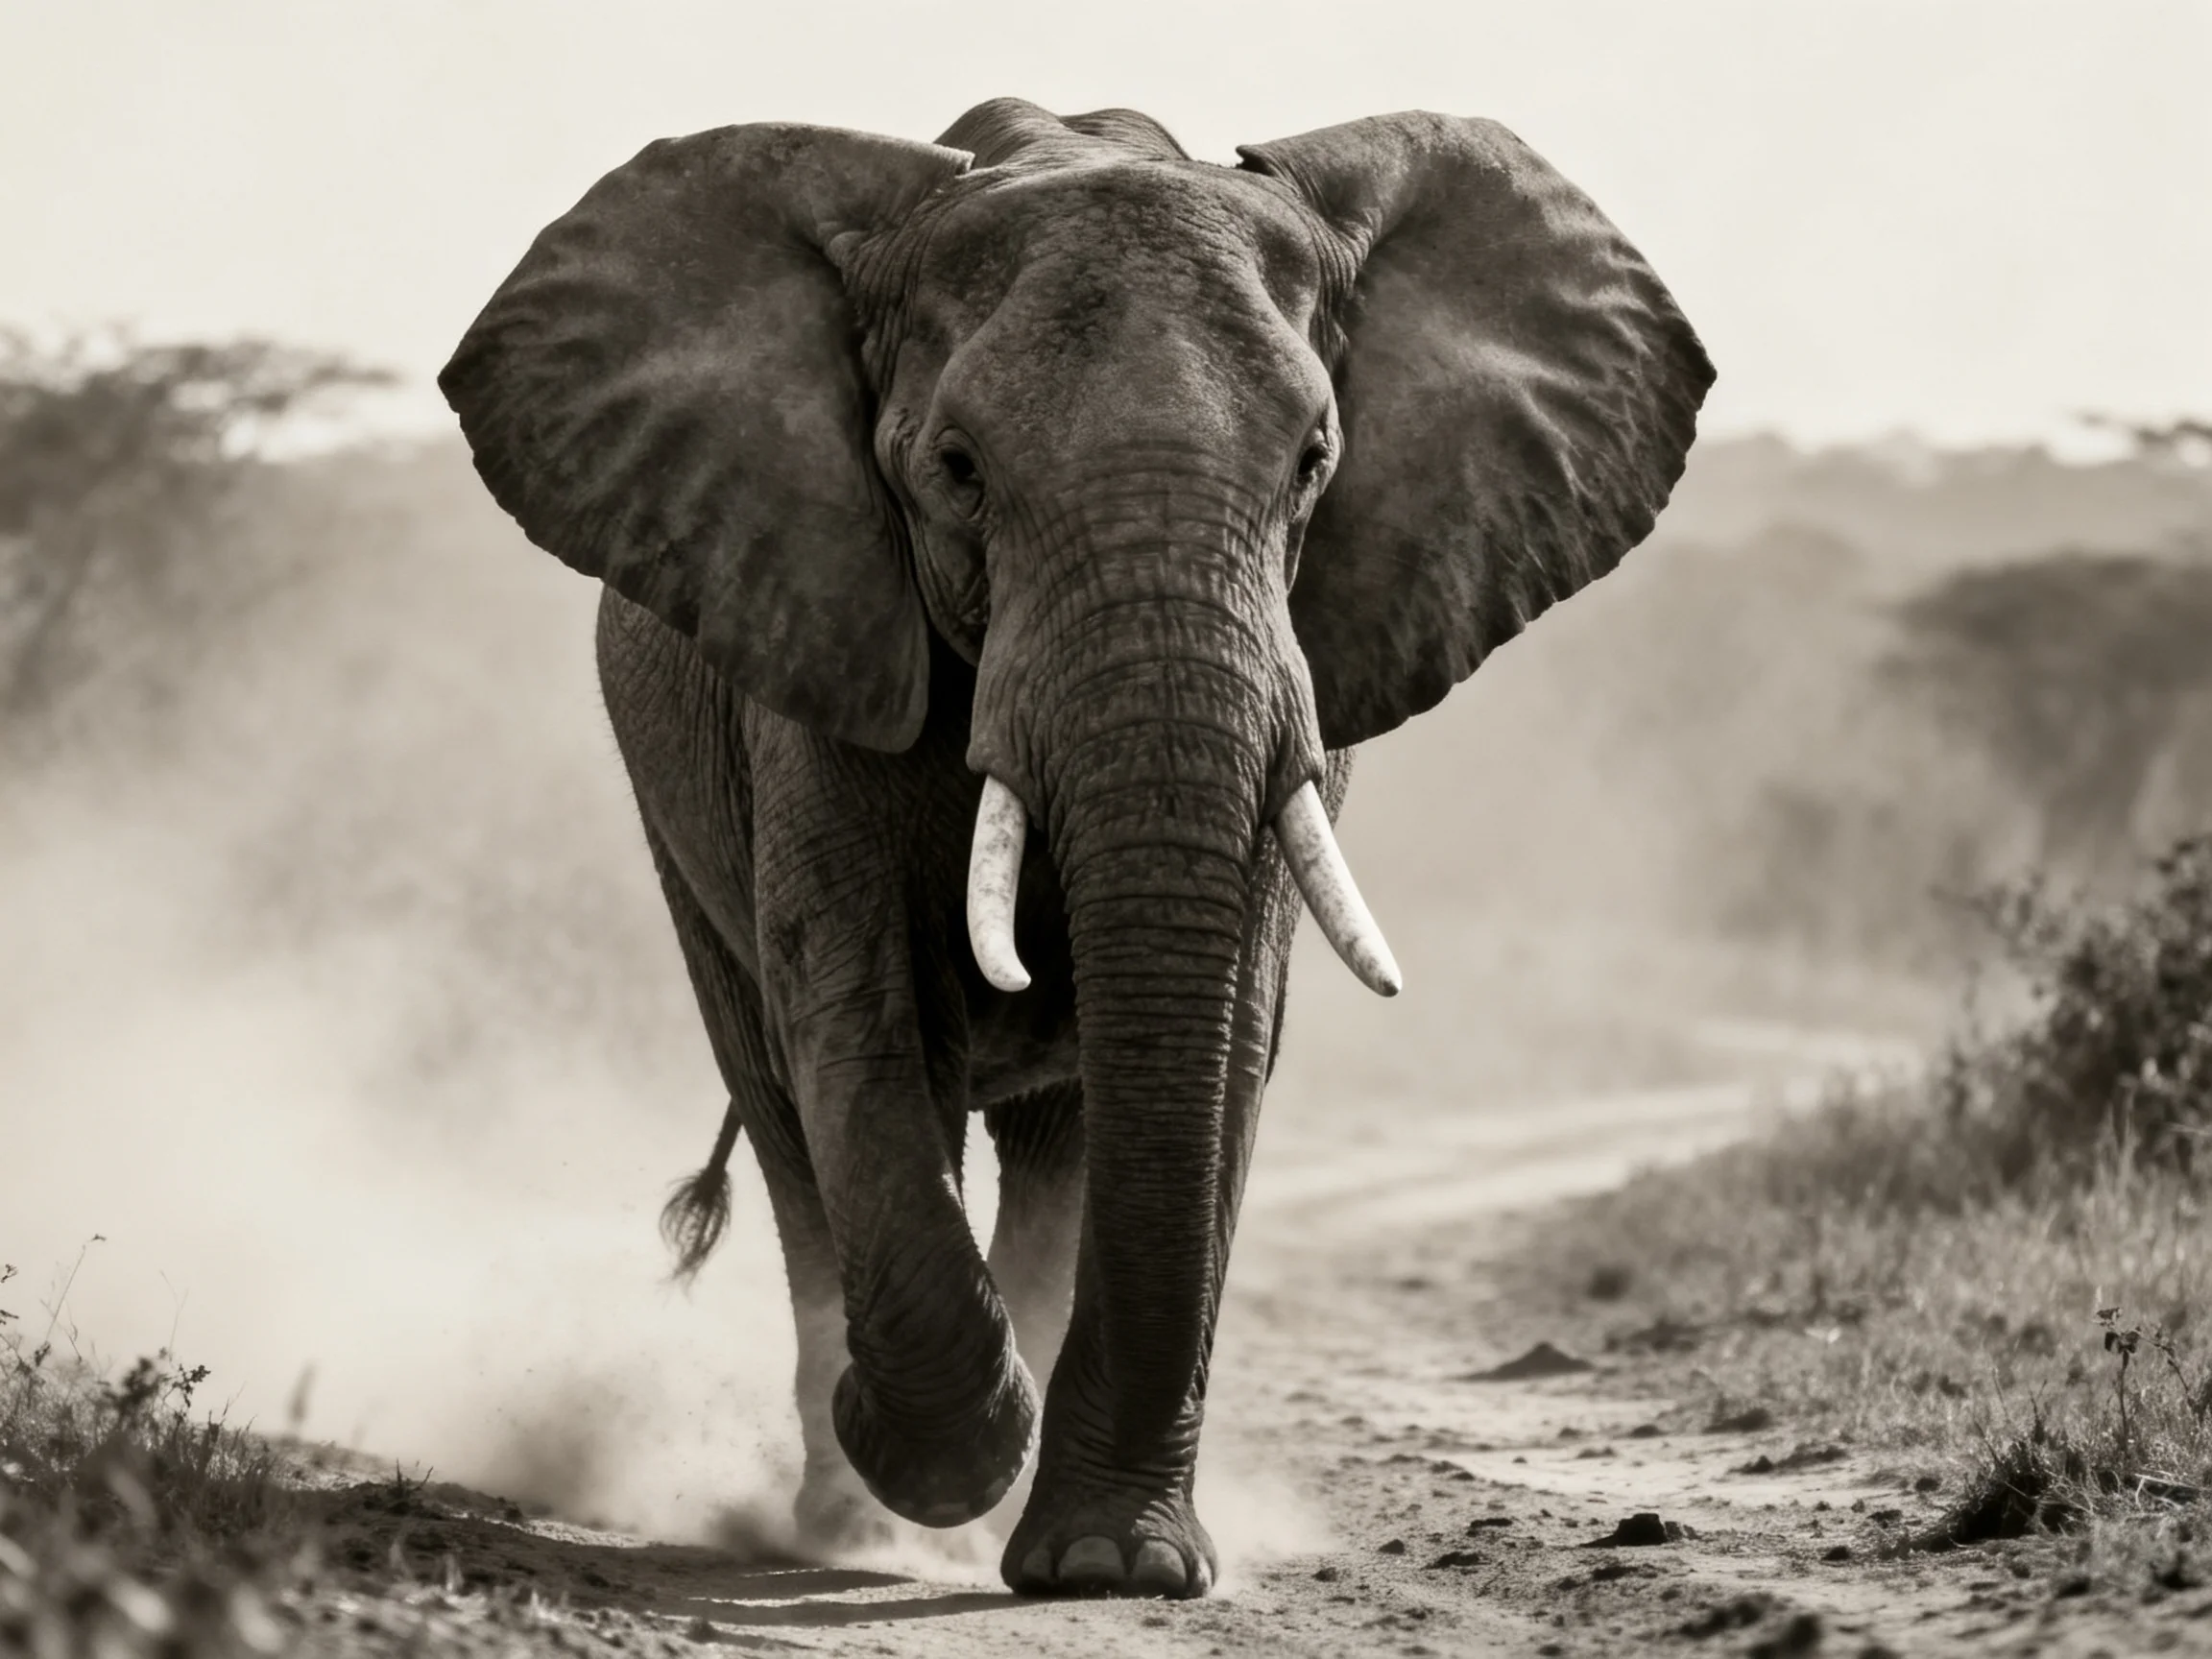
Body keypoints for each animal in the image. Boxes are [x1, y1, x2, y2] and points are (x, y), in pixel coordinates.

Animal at [439, 97, 1711, 1599]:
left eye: (1314, 464)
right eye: (957, 471)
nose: (1115, 1554)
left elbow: (1225, 1038)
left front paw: (1113, 1563)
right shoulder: (819, 643)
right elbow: (860, 1011)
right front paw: (929, 1462)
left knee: (1057, 1148)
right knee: (784, 1101)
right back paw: (850, 1512)